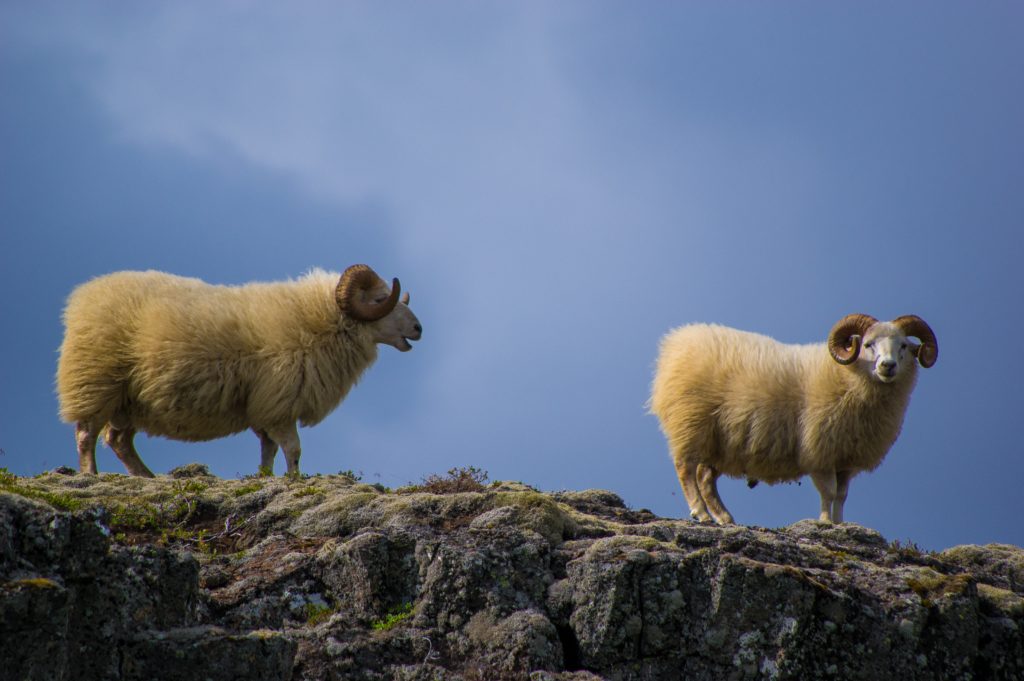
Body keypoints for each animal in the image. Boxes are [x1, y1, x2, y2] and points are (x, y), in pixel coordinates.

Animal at [56, 264, 422, 477]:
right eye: (380, 299)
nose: (418, 329)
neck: (321, 320)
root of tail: (85, 295)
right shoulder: (279, 406)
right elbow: (293, 450)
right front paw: (294, 481)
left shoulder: (264, 408)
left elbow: (268, 450)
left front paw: (265, 479)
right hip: (95, 382)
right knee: (87, 434)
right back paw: (90, 475)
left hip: (130, 400)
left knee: (118, 440)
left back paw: (146, 477)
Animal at [649, 314, 937, 524]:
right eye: (867, 344)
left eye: (903, 346)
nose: (887, 366)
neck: (848, 375)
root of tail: (676, 342)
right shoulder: (820, 450)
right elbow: (829, 491)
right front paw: (825, 522)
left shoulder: (845, 457)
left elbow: (842, 495)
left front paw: (840, 524)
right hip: (690, 423)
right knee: (685, 469)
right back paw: (701, 513)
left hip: (718, 442)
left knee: (705, 479)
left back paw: (724, 518)